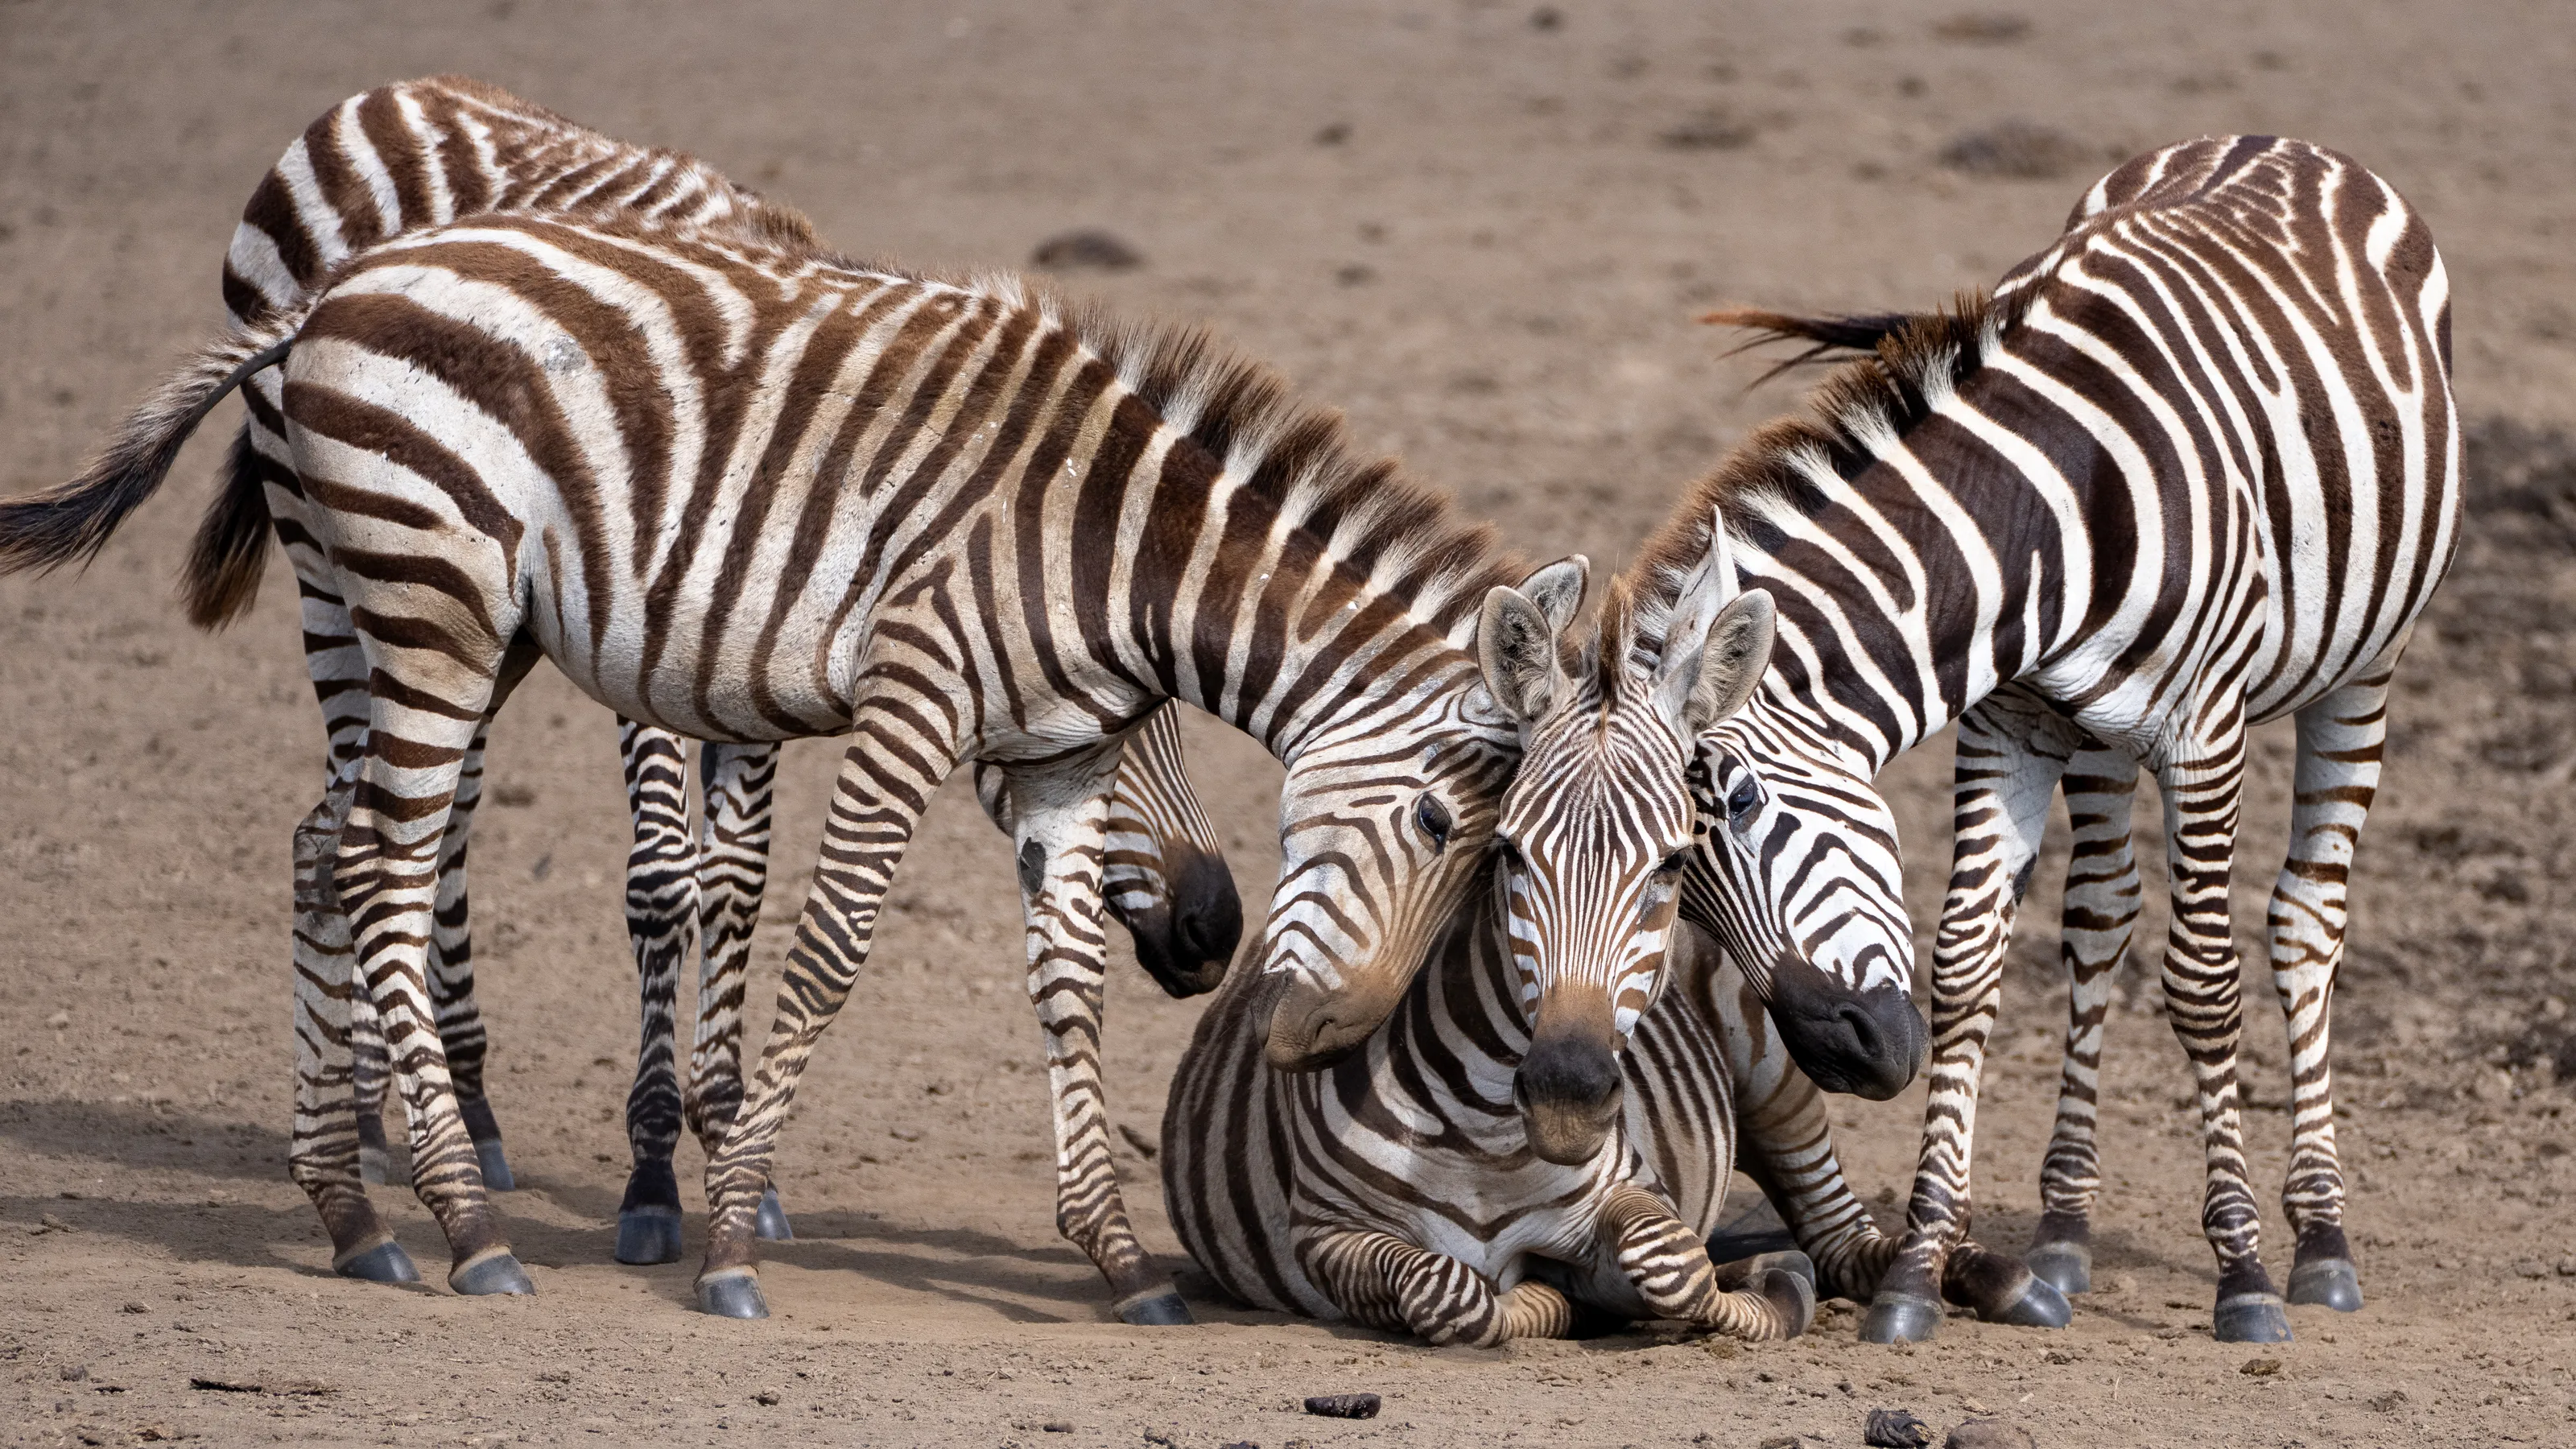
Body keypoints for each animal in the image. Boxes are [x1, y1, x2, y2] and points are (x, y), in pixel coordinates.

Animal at [0, 209, 1538, 1320]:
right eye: (1434, 825)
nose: (1315, 1030)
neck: (1106, 546)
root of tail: (327, 296)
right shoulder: (916, 697)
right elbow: (836, 947)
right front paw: (733, 1243)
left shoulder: (1054, 756)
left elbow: (1068, 989)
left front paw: (1113, 1256)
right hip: (431, 599)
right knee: (384, 864)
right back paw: (467, 1222)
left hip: (399, 604)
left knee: (324, 847)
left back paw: (348, 1212)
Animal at [198, 76, 1243, 1279]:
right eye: (1116, 720)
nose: (1215, 928)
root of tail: (383, 95)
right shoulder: (646, 627)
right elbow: (665, 880)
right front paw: (653, 1175)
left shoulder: (752, 662)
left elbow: (738, 881)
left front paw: (733, 1147)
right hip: (347, 558)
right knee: (391, 821)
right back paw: (395, 1115)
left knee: (419, 810)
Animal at [1633, 135, 2455, 1343]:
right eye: (1673, 885)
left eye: (1738, 806)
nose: (1845, 1056)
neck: (2045, 513)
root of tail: (2274, 141)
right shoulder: (2007, 720)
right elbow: (1968, 965)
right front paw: (1918, 1268)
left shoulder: (2204, 734)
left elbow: (2202, 985)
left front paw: (2243, 1274)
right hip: (2097, 732)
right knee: (2100, 920)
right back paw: (2064, 1233)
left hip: (2364, 665)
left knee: (2305, 922)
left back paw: (2321, 1241)